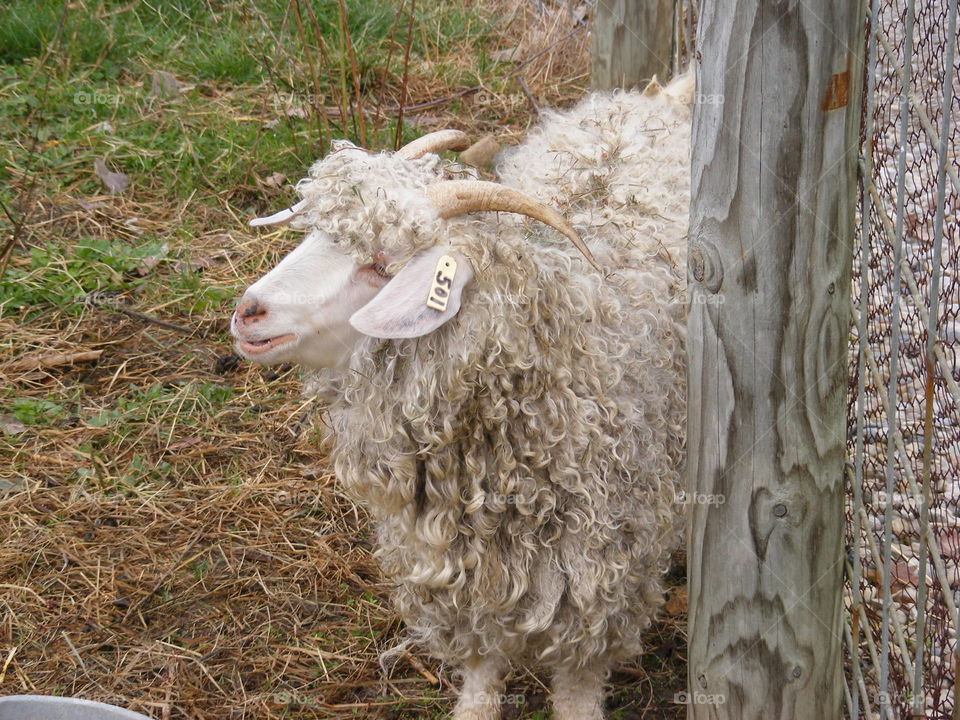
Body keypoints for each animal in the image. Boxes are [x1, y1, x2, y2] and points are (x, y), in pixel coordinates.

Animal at [231, 74, 692, 720]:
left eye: (382, 266)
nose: (249, 312)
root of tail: (652, 100)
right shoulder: (458, 575)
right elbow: (479, 665)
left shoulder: (598, 580)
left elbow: (579, 684)